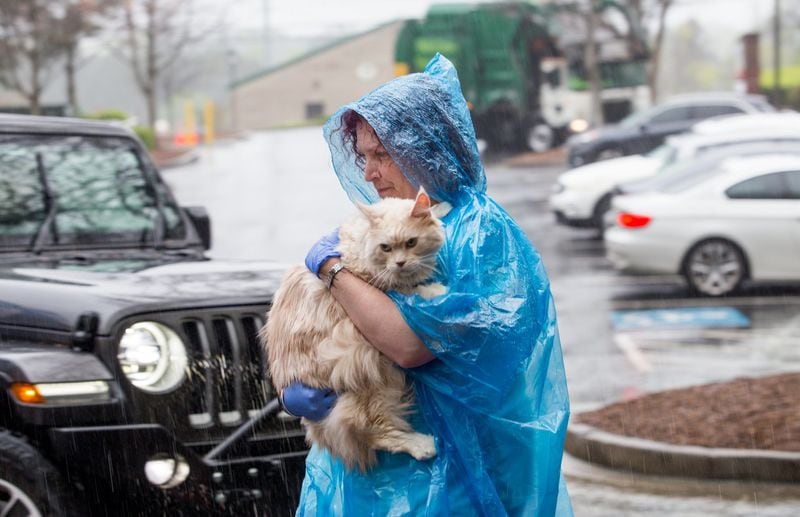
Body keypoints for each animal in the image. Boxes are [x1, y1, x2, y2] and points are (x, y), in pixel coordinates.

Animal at [264, 189, 446, 472]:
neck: (359, 245)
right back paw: (422, 445)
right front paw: (434, 290)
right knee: (375, 431)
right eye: (385, 247)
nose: (400, 263)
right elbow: (407, 293)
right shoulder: (377, 289)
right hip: (369, 375)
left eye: (411, 242)